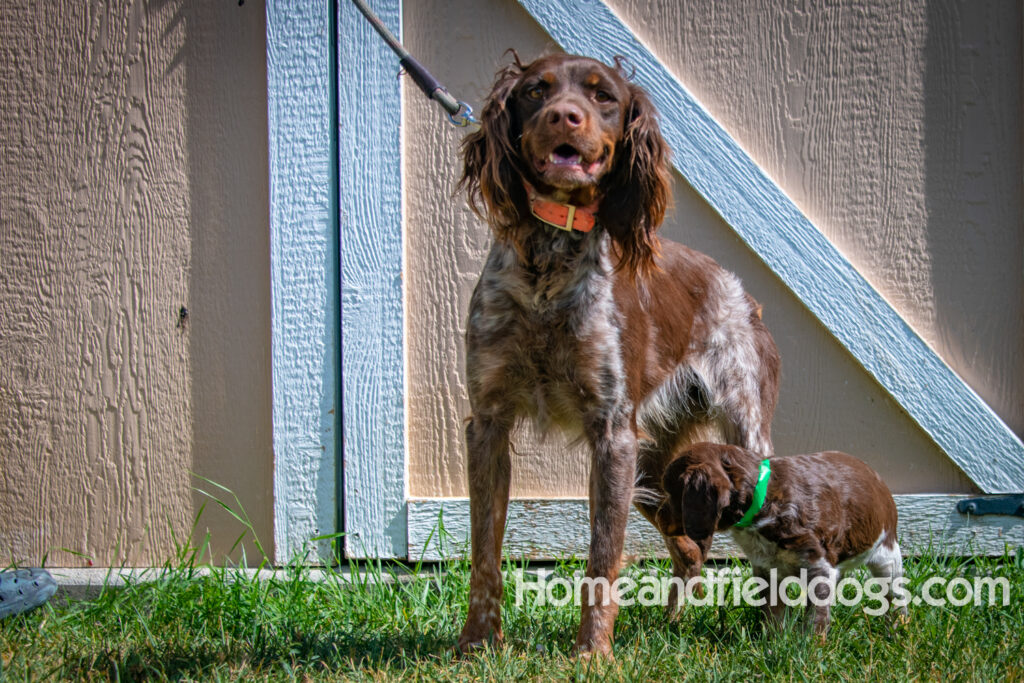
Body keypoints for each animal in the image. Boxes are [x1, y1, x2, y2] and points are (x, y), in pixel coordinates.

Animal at [452, 49, 778, 655]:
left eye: (603, 96)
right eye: (535, 91)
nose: (565, 116)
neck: (548, 265)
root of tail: (740, 291)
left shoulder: (612, 434)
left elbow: (603, 557)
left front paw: (593, 653)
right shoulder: (487, 423)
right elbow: (485, 552)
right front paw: (477, 644)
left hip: (739, 432)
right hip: (659, 474)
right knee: (691, 547)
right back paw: (674, 623)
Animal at [655, 444, 905, 634]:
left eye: (671, 493)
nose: (657, 516)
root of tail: (879, 481)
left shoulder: (818, 565)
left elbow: (815, 616)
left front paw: (810, 649)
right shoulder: (767, 570)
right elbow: (773, 611)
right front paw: (773, 641)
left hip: (887, 555)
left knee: (895, 594)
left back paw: (897, 630)